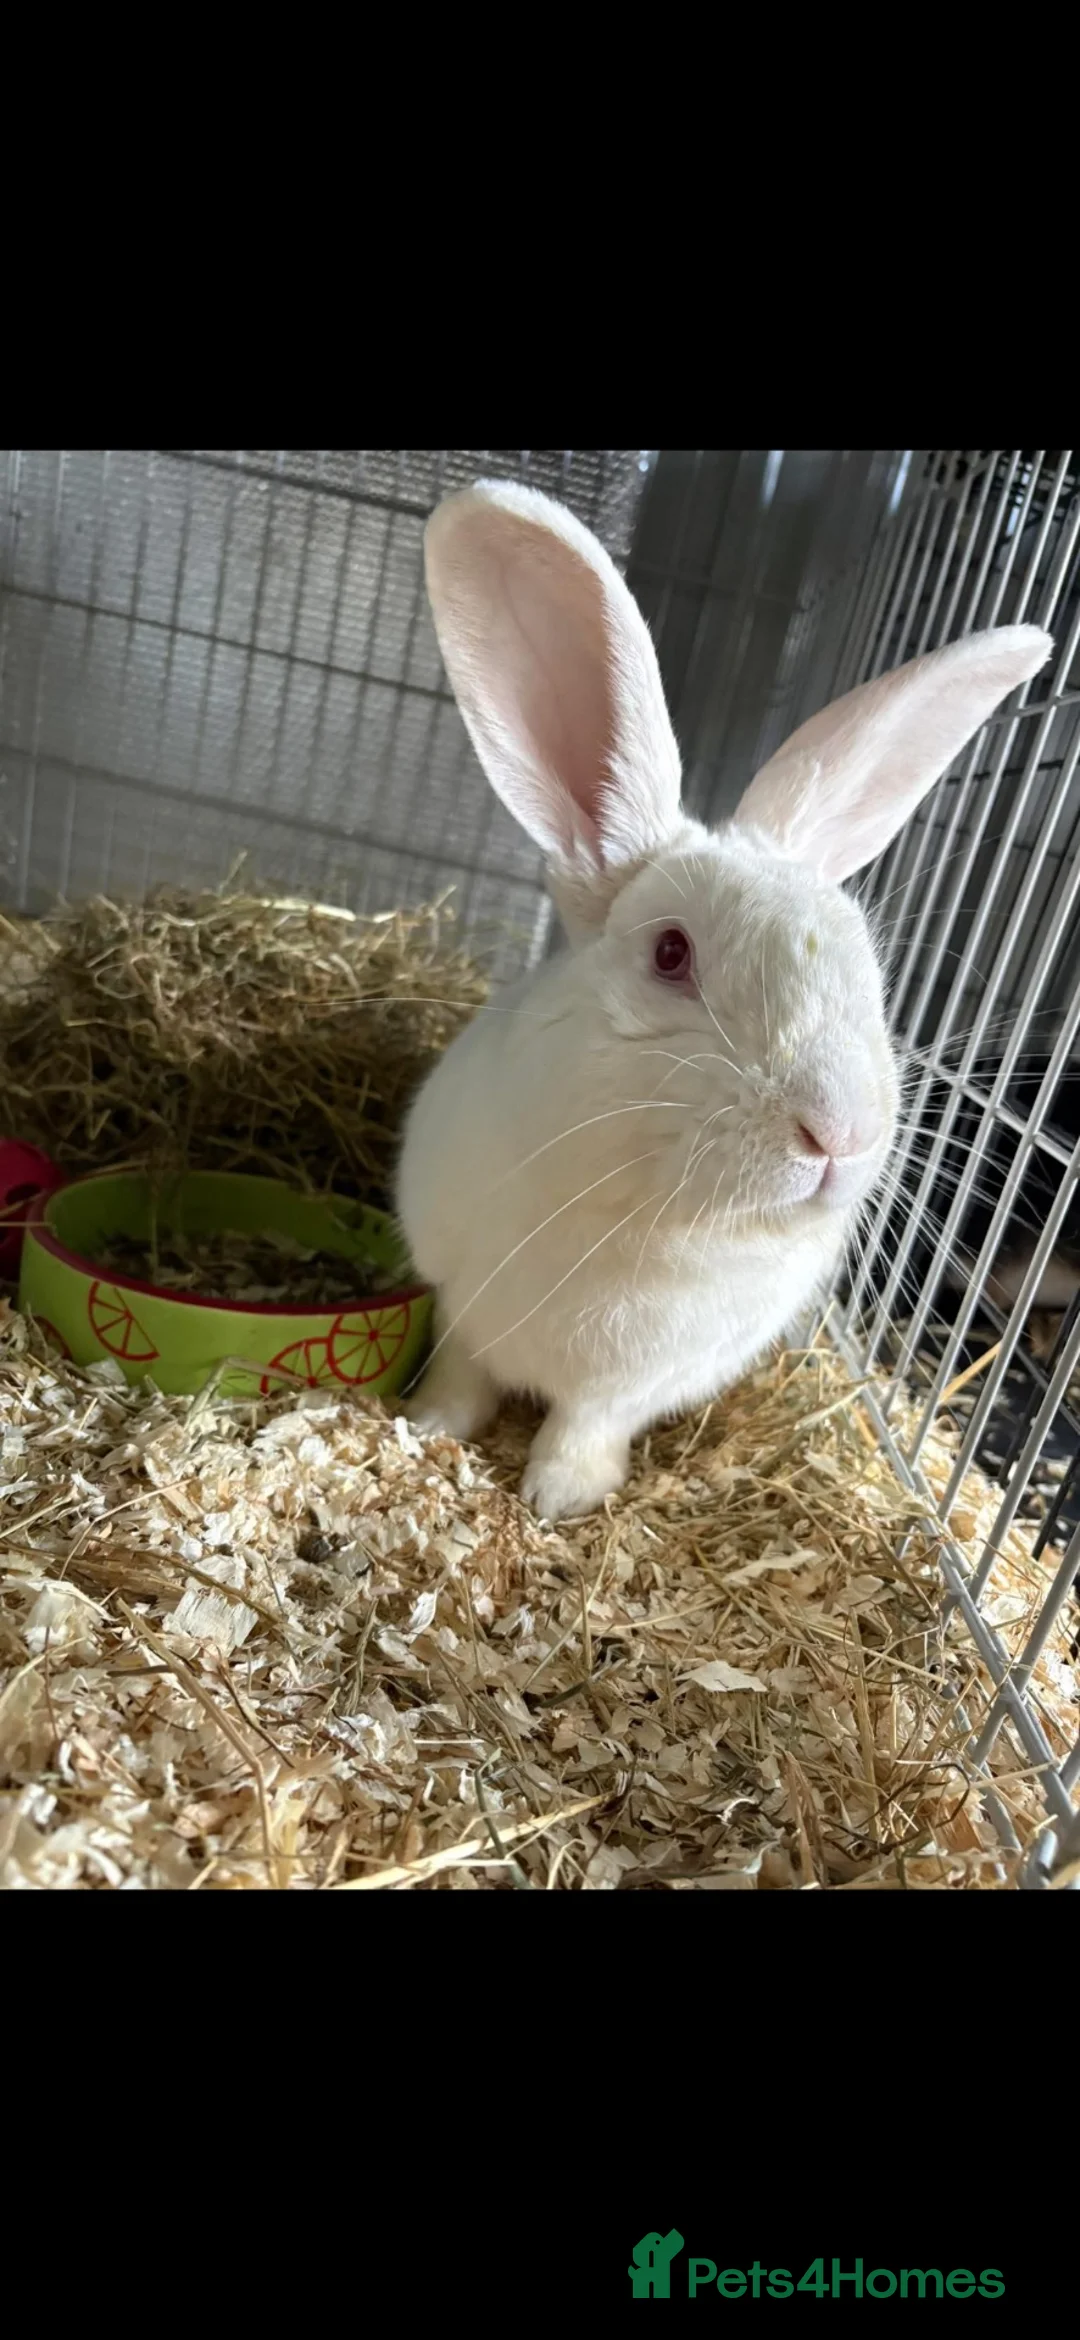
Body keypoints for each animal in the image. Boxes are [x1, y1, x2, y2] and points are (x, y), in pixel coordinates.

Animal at [395, 478, 1053, 1521]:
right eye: (671, 953)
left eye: (868, 973)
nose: (840, 1134)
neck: (658, 1215)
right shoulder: (462, 1299)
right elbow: (465, 1374)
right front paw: (428, 1427)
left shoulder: (636, 1383)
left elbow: (588, 1423)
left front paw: (561, 1498)